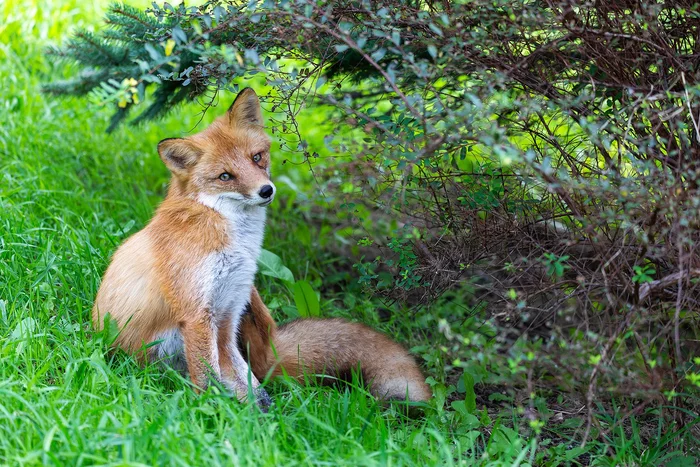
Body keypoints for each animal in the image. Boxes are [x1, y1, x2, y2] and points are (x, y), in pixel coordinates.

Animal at [93, 88, 432, 410]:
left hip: (250, 307)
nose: (266, 191)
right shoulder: (197, 313)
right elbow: (208, 377)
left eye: (256, 157)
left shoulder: (228, 311)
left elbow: (244, 379)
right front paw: (213, 411)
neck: (230, 234)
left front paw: (256, 414)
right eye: (225, 176)